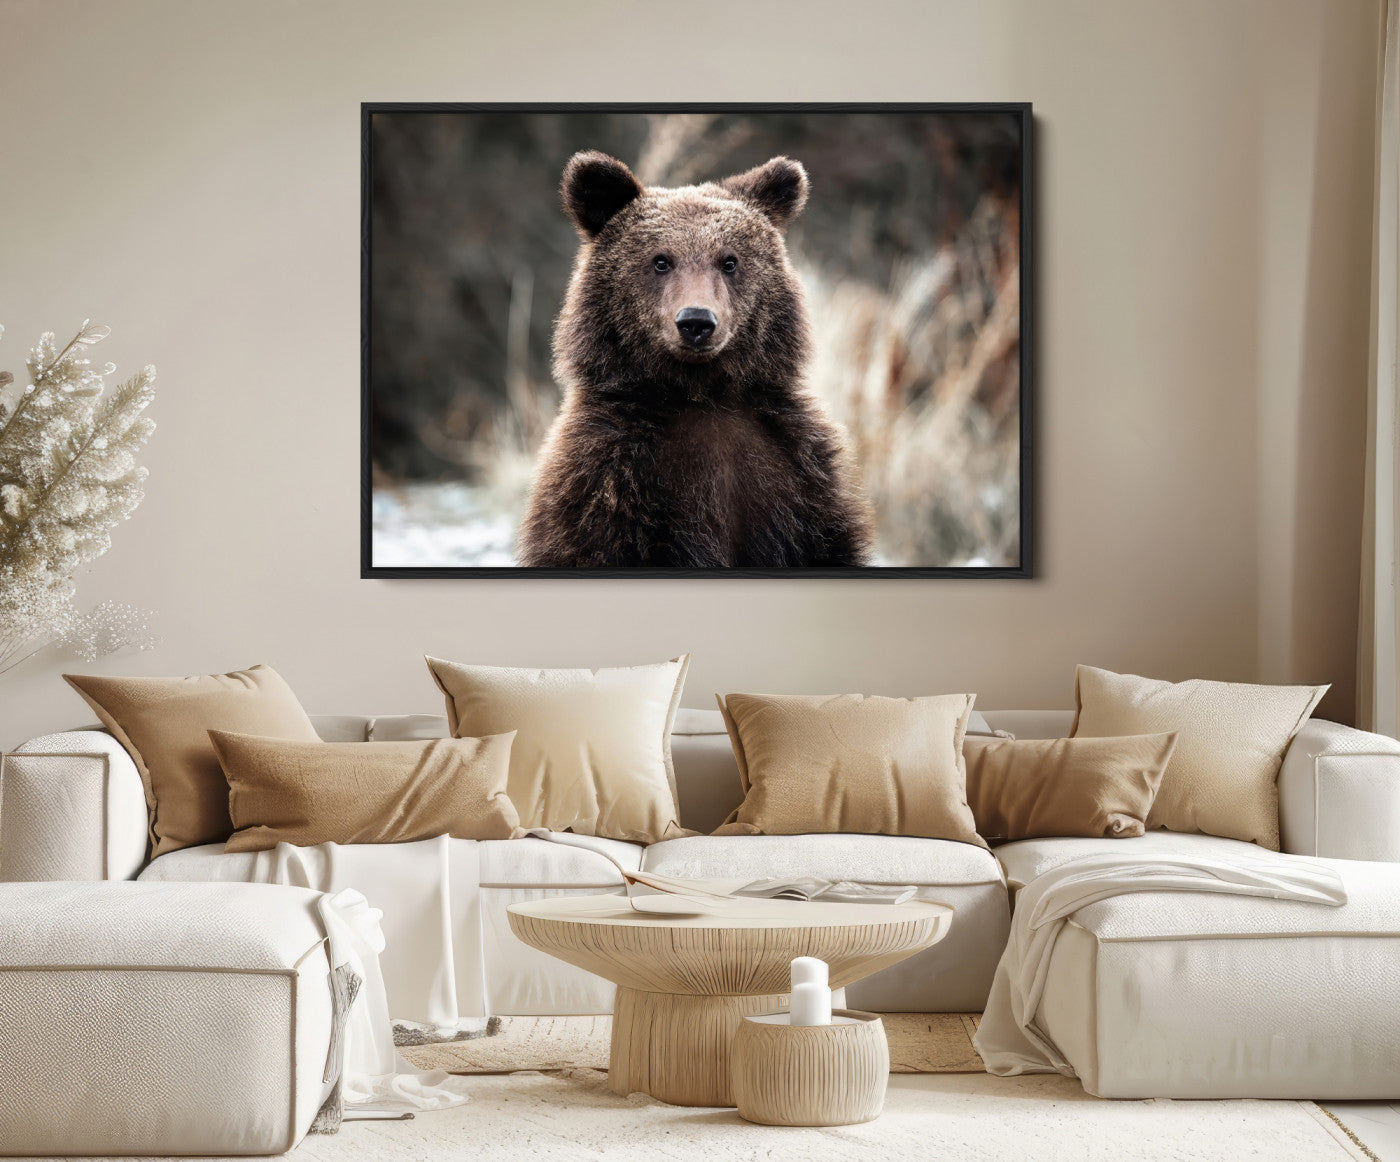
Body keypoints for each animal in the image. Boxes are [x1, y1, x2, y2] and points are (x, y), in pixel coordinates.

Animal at [516, 150, 873, 569]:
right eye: (660, 260)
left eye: (729, 261)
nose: (696, 322)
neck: (701, 393)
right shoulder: (608, 482)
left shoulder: (798, 479)